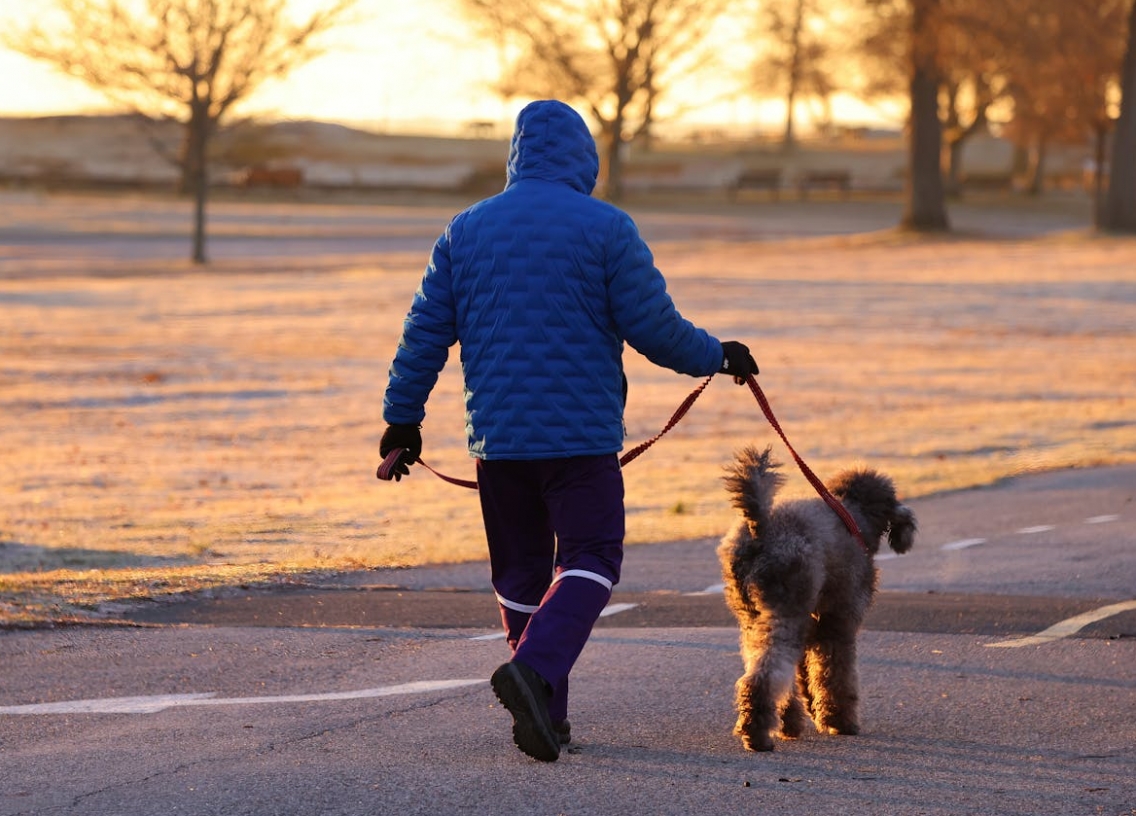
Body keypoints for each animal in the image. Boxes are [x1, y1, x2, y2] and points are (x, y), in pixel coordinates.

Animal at [717, 447, 913, 754]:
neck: (853, 515)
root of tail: (759, 528)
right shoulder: (837, 624)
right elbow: (836, 674)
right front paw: (840, 721)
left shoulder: (813, 624)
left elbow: (804, 675)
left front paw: (807, 714)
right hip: (786, 608)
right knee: (766, 674)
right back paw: (758, 735)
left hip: (753, 617)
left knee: (765, 664)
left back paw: (780, 724)